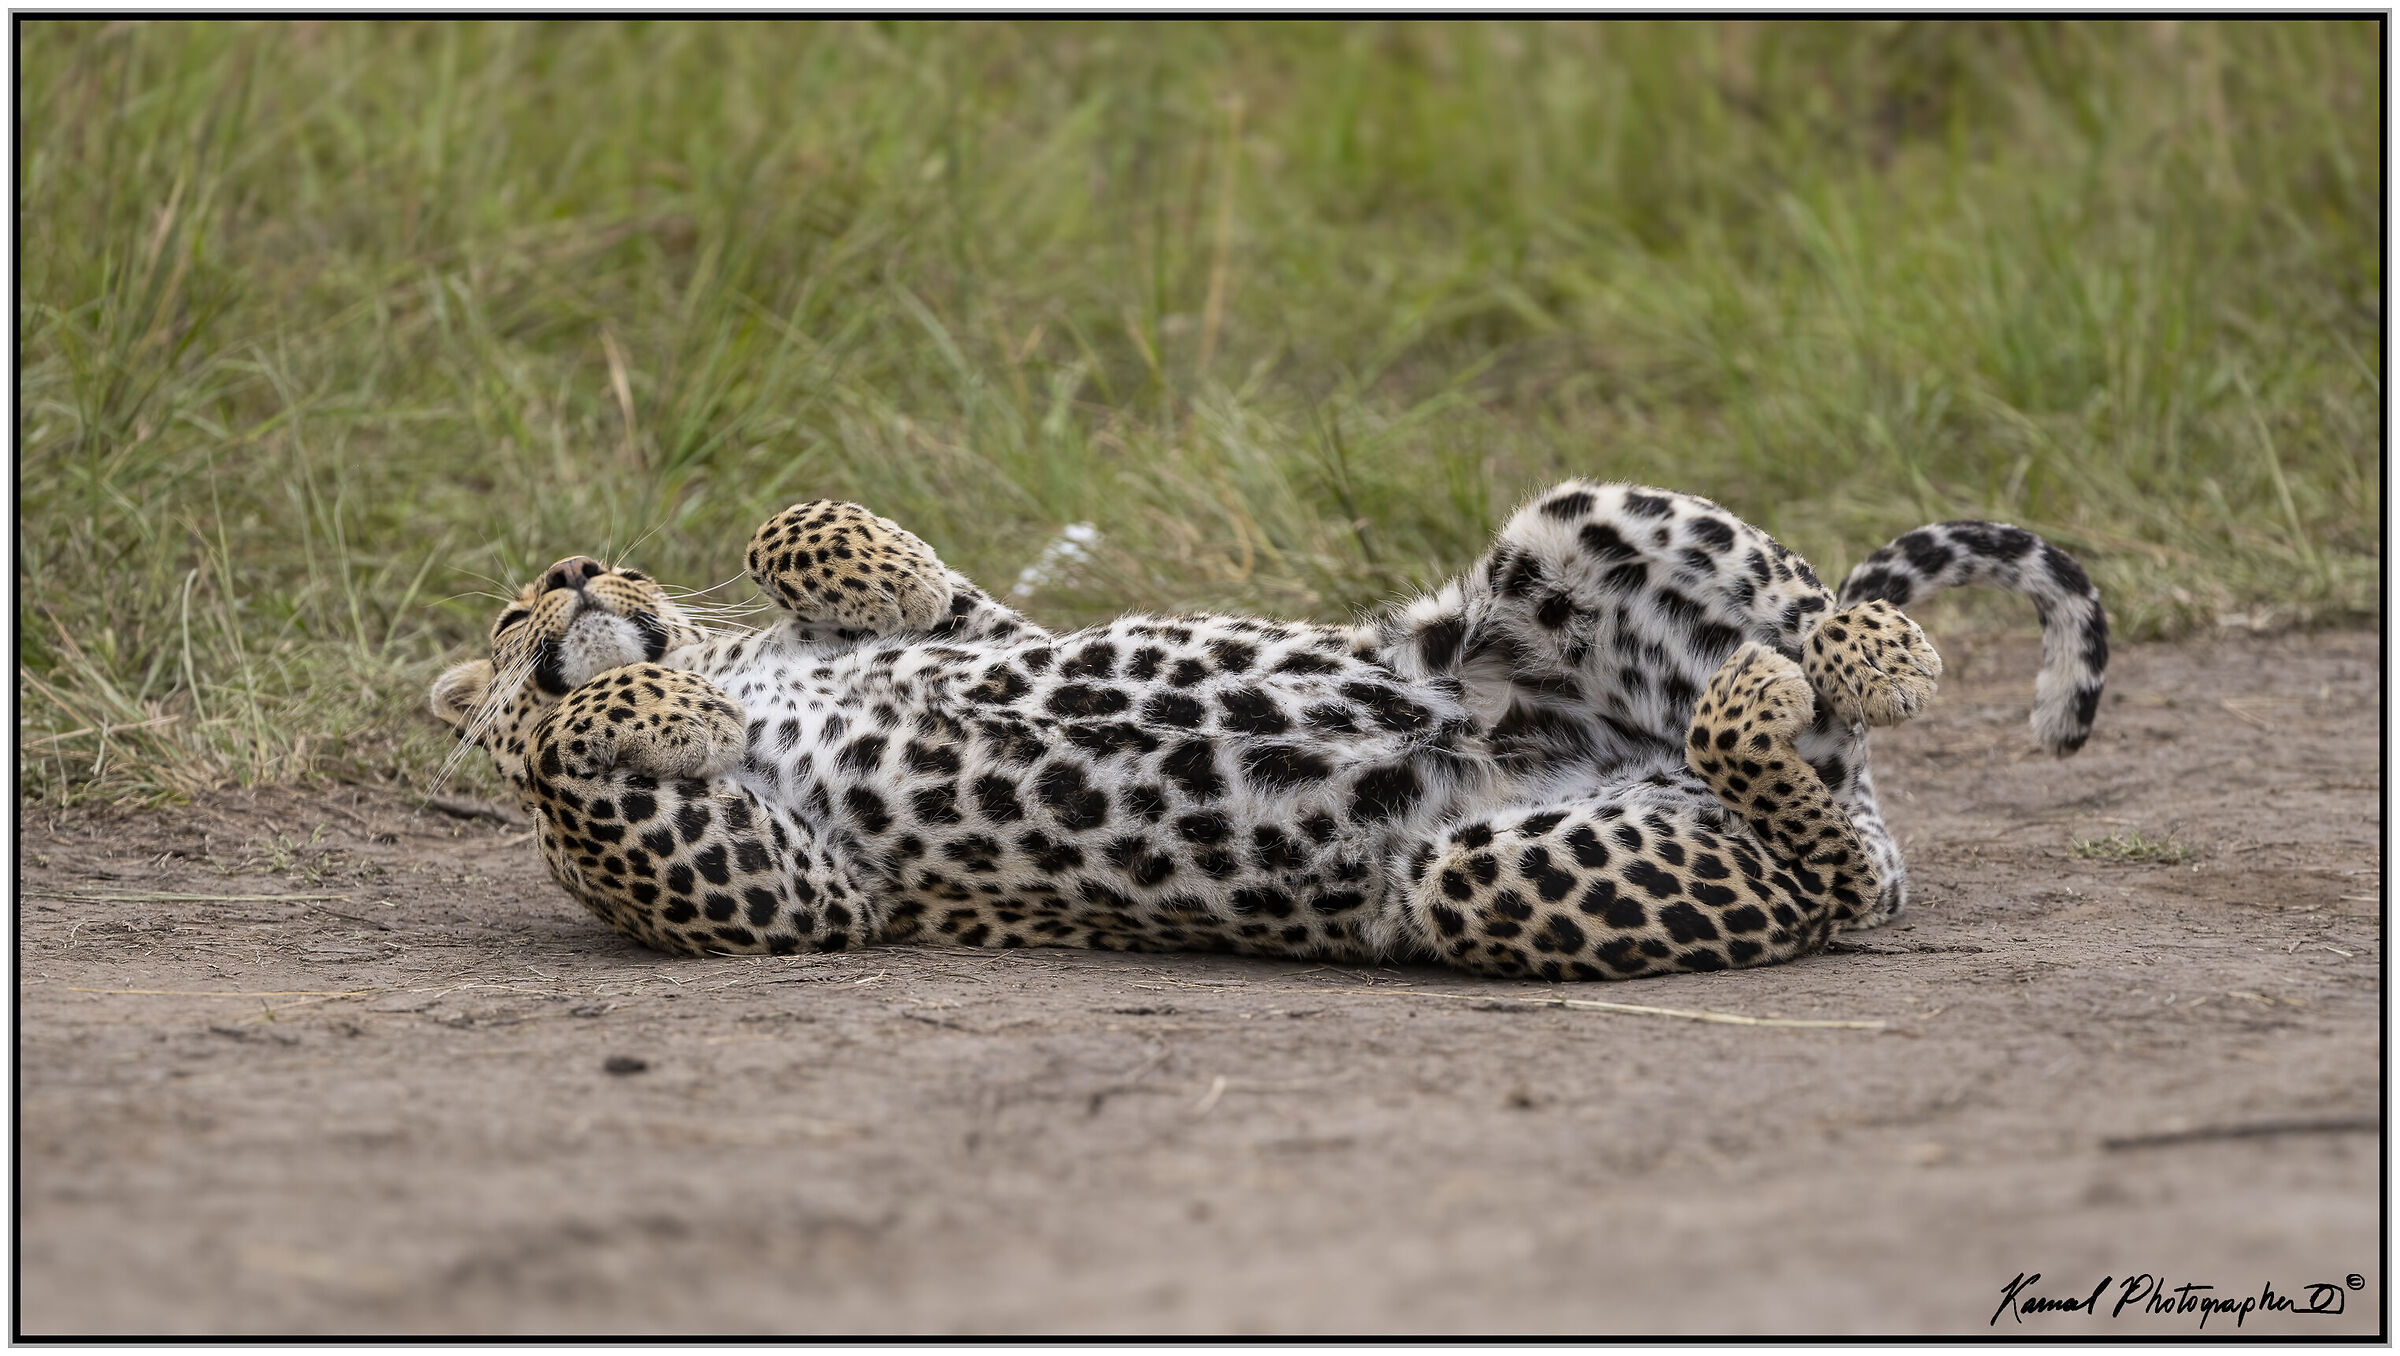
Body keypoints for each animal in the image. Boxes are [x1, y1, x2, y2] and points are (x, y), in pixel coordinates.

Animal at [430, 482, 2107, 981]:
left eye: (594, 565)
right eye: (508, 610)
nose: (570, 575)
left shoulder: (983, 628)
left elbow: (811, 533)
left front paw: (825, 581)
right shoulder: (786, 895)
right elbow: (568, 760)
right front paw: (638, 702)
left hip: (1571, 523)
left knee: (1818, 661)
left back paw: (1866, 652)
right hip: (1477, 877)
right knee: (1828, 866)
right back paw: (1776, 705)